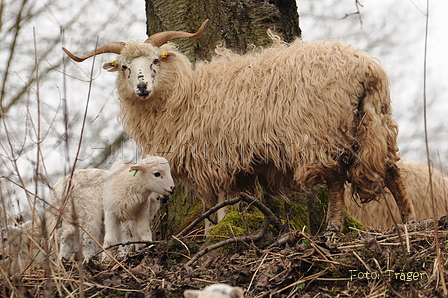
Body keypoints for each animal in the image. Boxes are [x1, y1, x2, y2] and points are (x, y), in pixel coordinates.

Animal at [62, 19, 412, 233]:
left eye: (155, 61)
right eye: (124, 67)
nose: (142, 87)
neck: (184, 95)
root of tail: (365, 67)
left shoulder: (213, 159)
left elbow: (215, 204)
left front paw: (212, 234)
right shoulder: (217, 164)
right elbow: (212, 204)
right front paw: (211, 232)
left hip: (321, 129)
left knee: (337, 178)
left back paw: (333, 228)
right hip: (372, 119)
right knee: (391, 169)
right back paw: (409, 221)